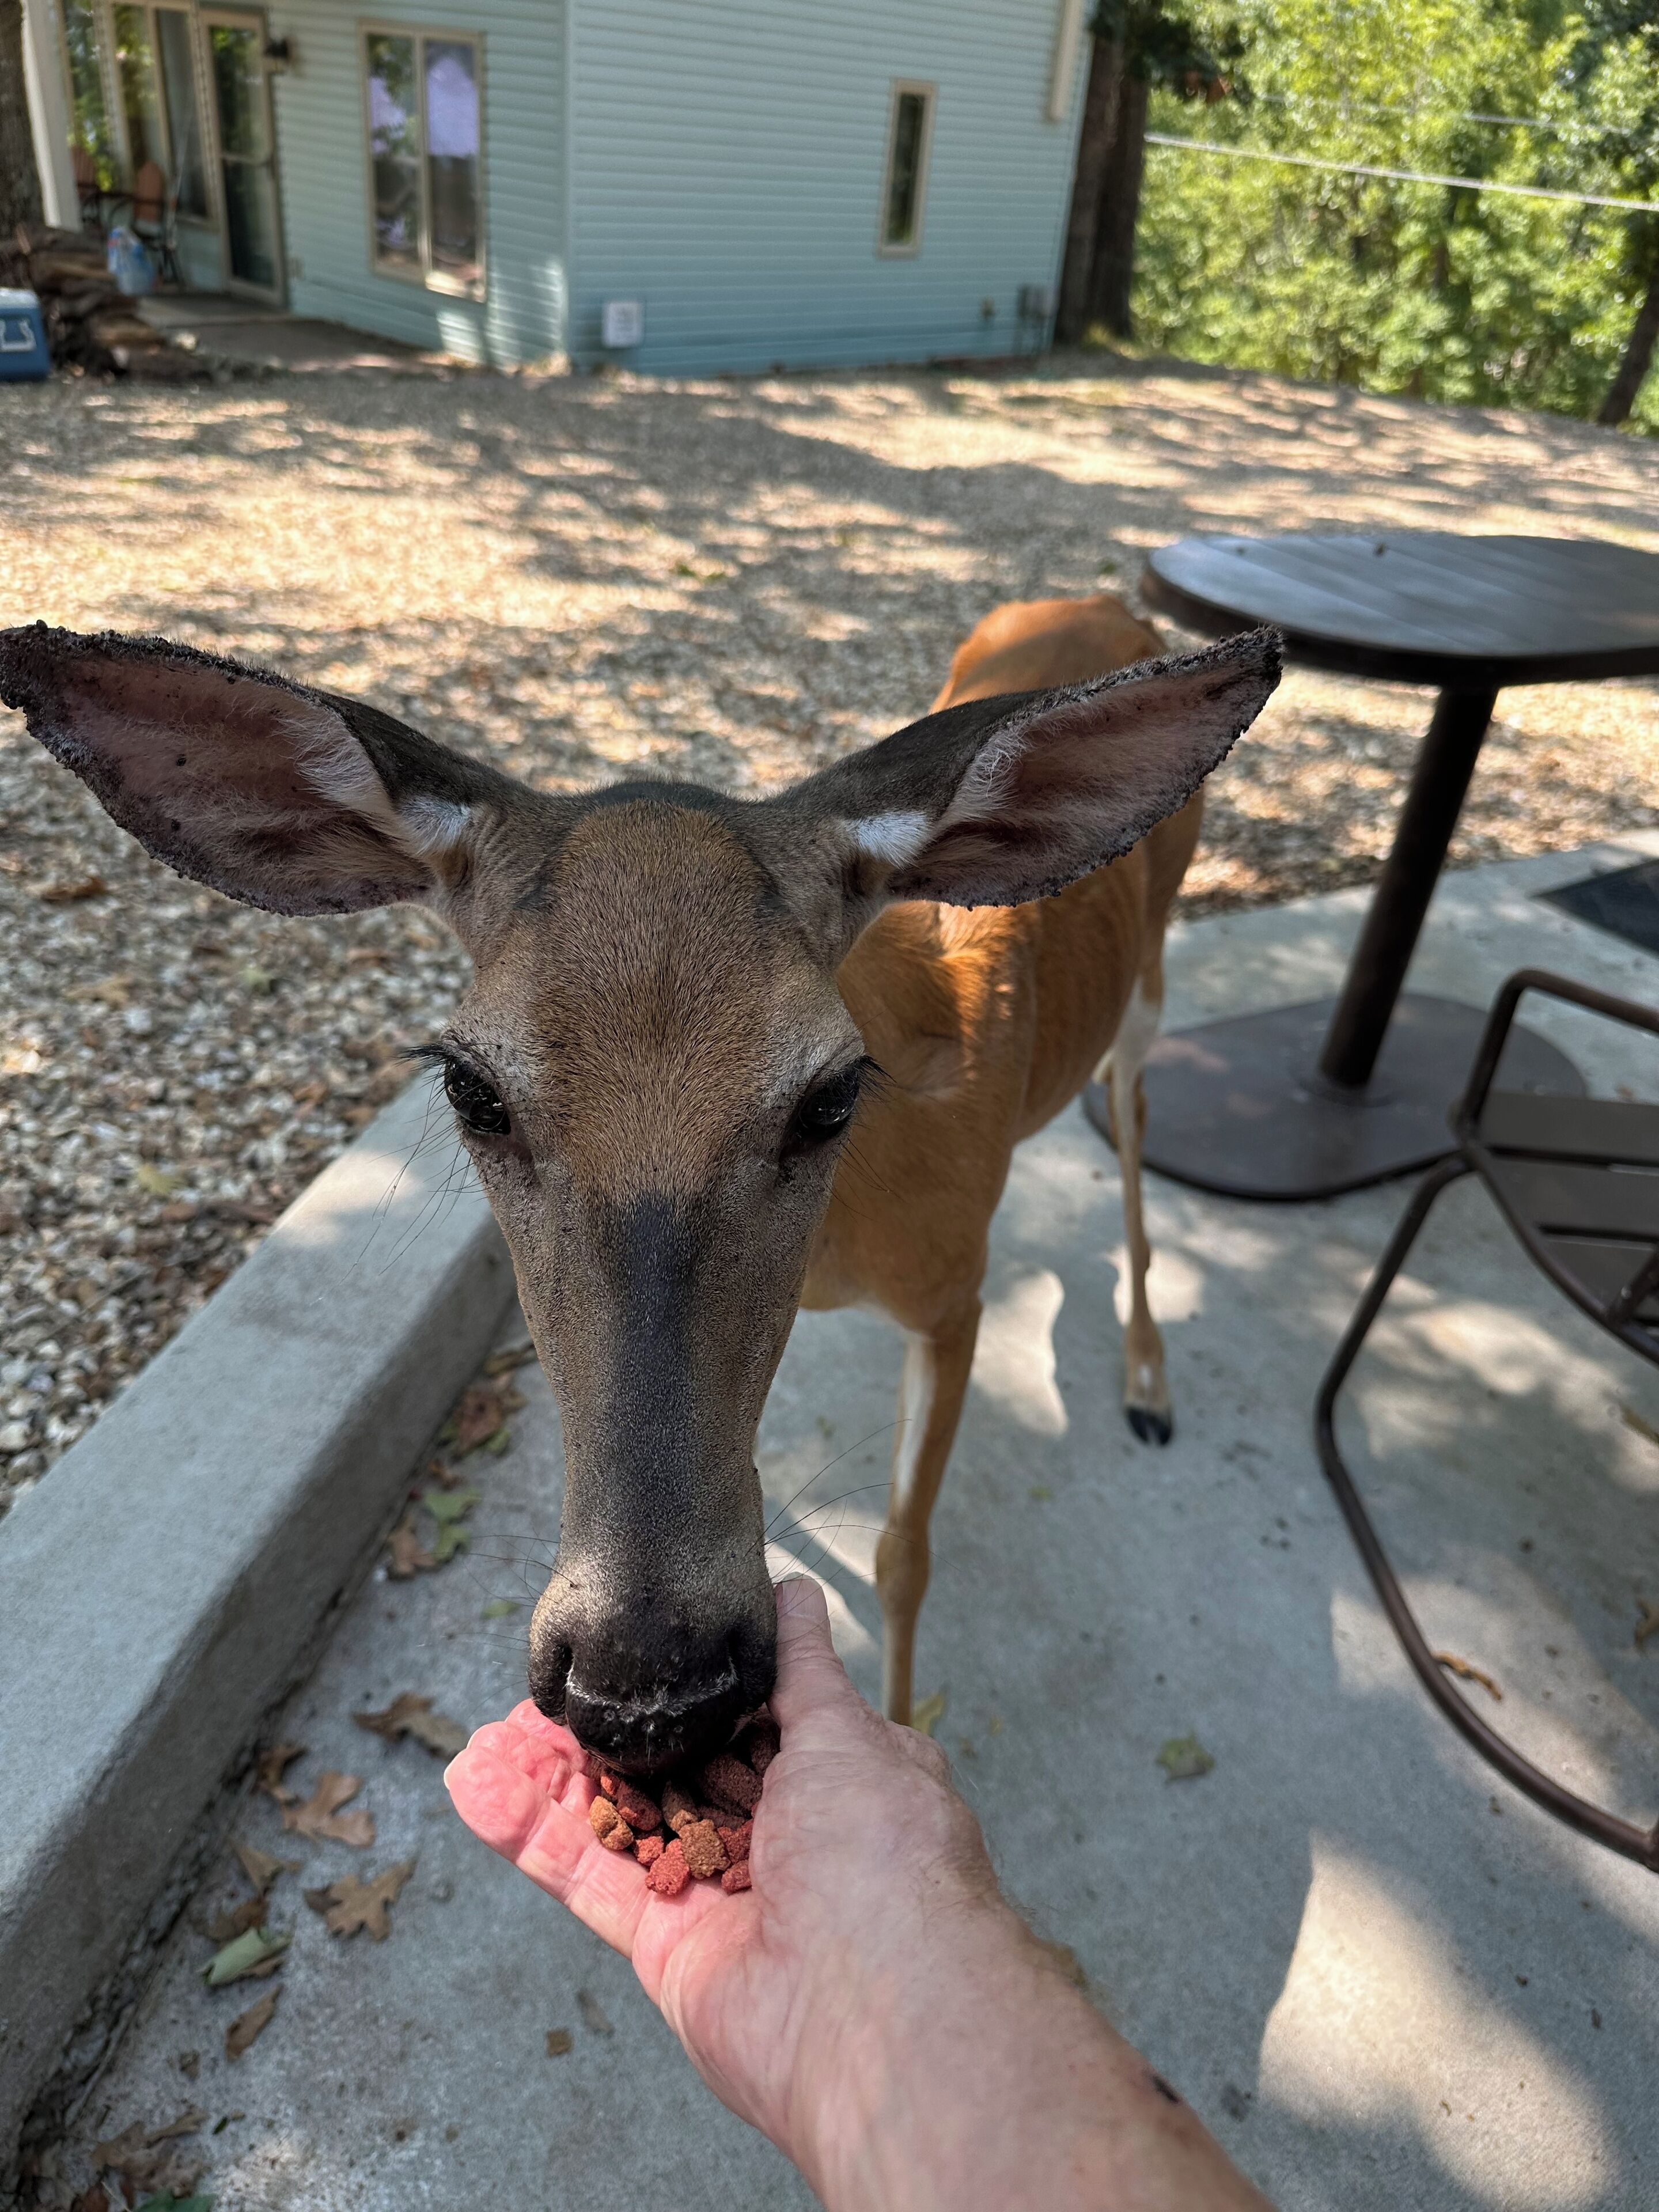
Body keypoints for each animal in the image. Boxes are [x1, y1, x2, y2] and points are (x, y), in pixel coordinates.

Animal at [0, 600, 1279, 1771]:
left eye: (831, 1092)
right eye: (471, 1087)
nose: (650, 1686)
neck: (851, 1245)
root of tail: (1105, 601)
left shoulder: (956, 1284)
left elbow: (902, 1553)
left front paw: (907, 1729)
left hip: (1153, 978)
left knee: (1135, 1118)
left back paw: (1150, 1381)